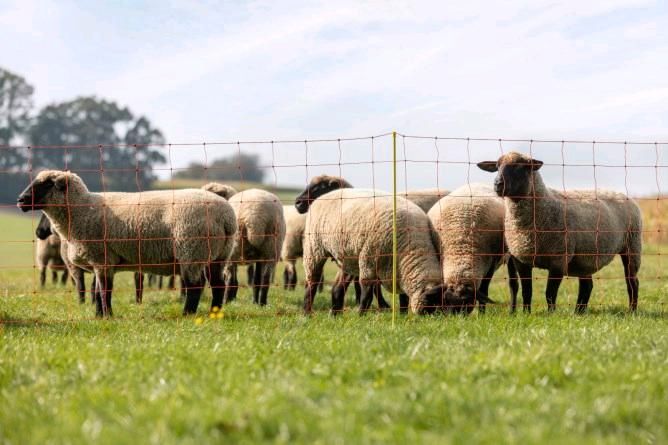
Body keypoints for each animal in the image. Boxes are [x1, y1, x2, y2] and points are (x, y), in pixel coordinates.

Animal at [17, 169, 236, 316]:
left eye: (46, 184)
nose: (20, 200)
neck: (82, 210)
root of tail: (226, 216)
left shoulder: (102, 258)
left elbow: (104, 291)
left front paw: (107, 316)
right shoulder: (102, 261)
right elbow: (99, 291)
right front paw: (99, 316)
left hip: (192, 249)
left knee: (195, 286)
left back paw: (187, 314)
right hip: (218, 254)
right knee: (218, 285)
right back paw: (214, 313)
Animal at [294, 179, 446, 314]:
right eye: (433, 303)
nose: (298, 204)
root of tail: (324, 197)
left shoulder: (399, 271)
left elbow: (403, 297)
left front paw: (402, 315)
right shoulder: (369, 260)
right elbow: (367, 294)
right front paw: (361, 315)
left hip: (346, 256)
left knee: (337, 286)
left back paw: (334, 315)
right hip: (314, 248)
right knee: (312, 282)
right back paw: (307, 313)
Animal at [430, 183, 520, 312]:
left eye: (467, 303)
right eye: (446, 301)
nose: (453, 317)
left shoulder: (491, 261)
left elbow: (484, 290)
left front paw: (481, 313)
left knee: (513, 284)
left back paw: (512, 311)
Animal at [478, 152, 644, 312]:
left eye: (520, 166)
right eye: (497, 166)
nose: (497, 184)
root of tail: (624, 195)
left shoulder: (558, 260)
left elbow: (550, 294)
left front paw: (551, 314)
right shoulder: (521, 260)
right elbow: (527, 292)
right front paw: (526, 313)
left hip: (632, 246)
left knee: (632, 281)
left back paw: (632, 311)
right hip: (586, 257)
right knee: (587, 286)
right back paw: (578, 313)